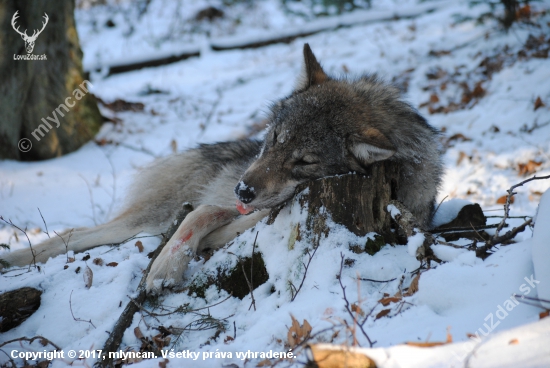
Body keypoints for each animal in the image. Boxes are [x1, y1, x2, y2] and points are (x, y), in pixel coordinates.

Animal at [1, 44, 444, 294]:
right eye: (276, 138)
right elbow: (199, 214)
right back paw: (15, 260)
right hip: (144, 220)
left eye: (304, 162)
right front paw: (164, 269)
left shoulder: (247, 219)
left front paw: (167, 266)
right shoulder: (229, 211)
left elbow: (207, 218)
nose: (243, 190)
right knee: (77, 233)